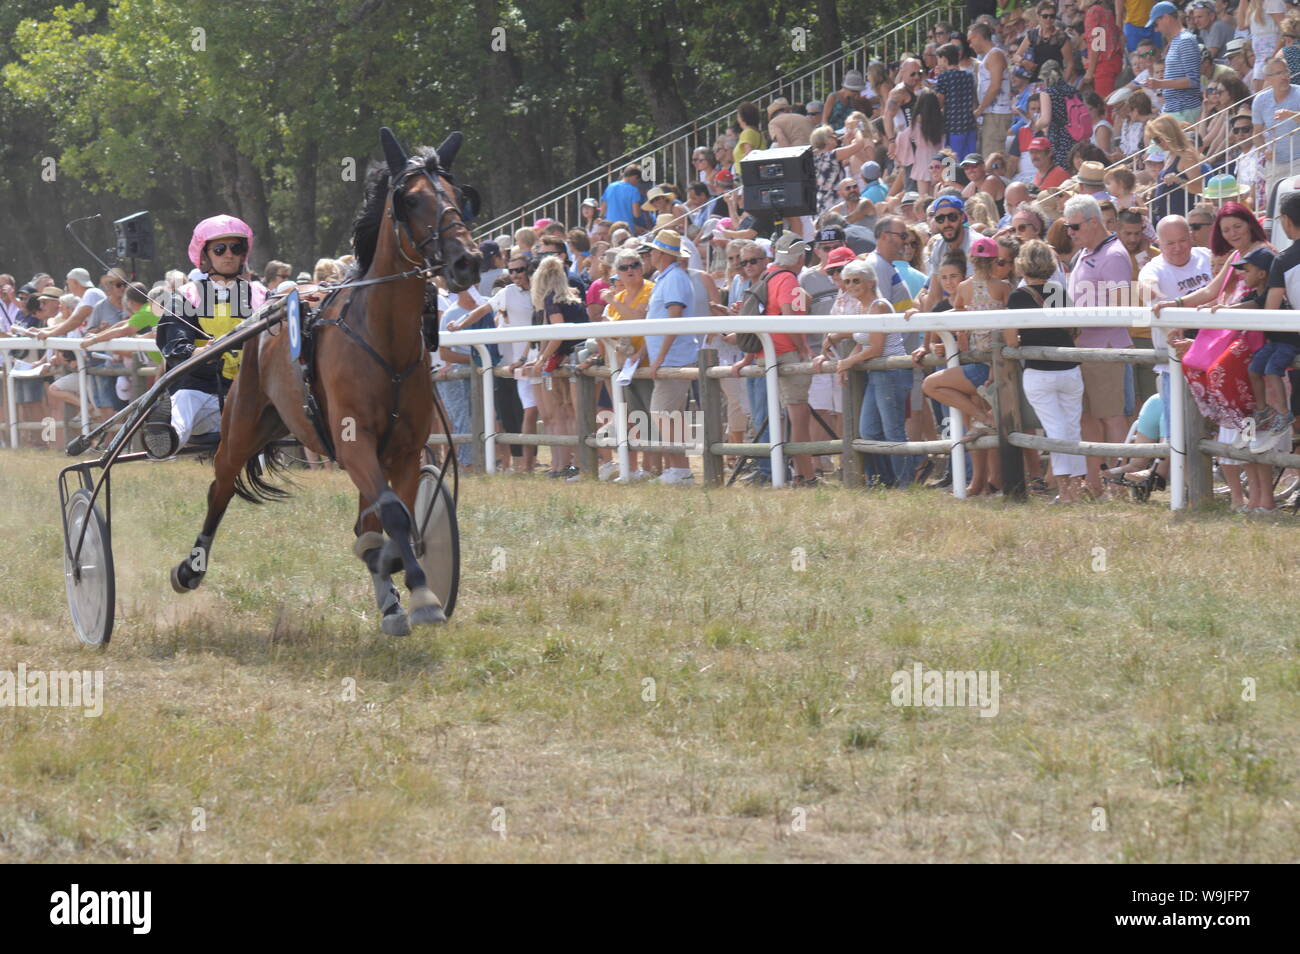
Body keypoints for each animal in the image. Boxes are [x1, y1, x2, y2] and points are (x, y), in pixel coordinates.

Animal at [169, 127, 482, 635]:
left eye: (459, 196)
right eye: (411, 200)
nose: (467, 261)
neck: (384, 340)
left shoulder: (404, 449)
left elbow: (389, 520)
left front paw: (400, 579)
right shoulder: (353, 441)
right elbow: (393, 516)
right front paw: (421, 594)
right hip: (240, 425)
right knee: (220, 486)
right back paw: (190, 568)